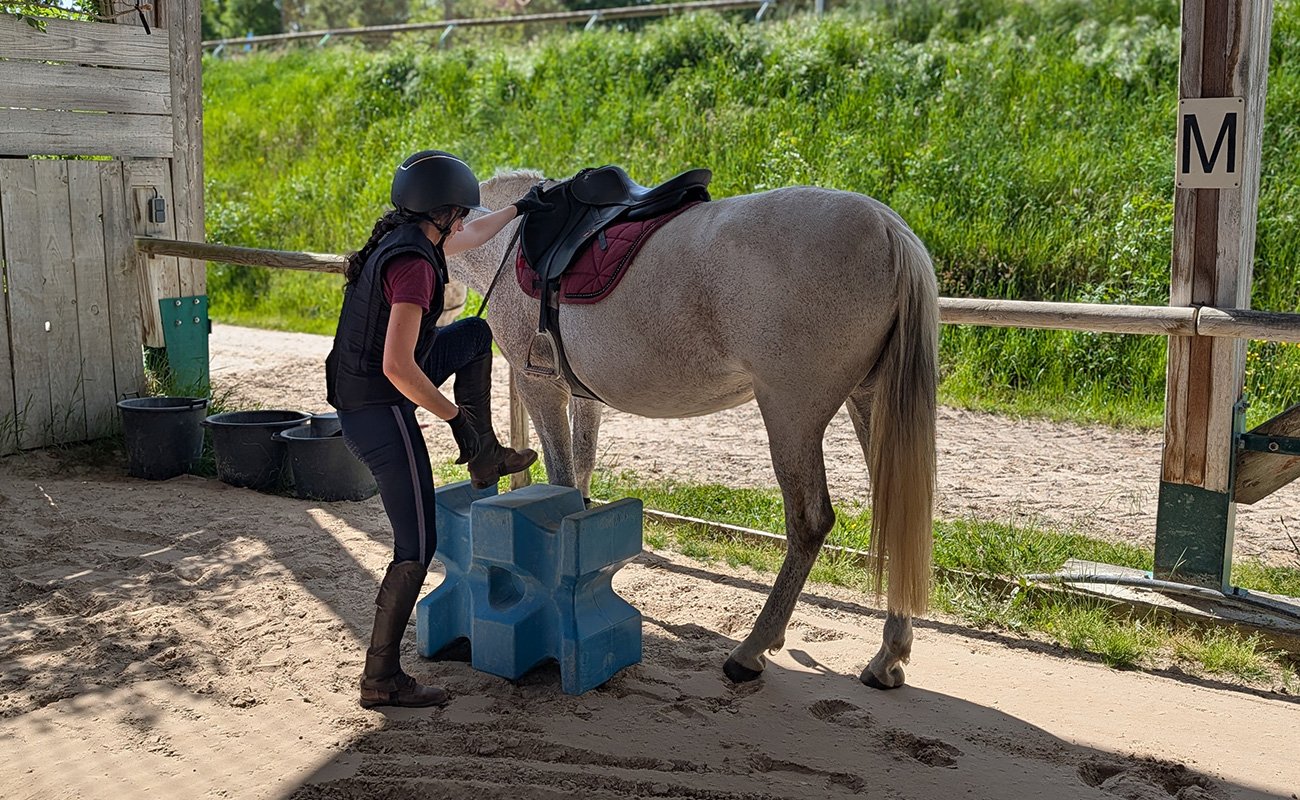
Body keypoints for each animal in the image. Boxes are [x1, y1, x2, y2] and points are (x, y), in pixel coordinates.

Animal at [446, 169, 939, 689]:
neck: (504, 240)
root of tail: (888, 229)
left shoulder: (540, 389)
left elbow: (561, 486)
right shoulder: (584, 399)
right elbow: (580, 479)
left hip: (792, 415)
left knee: (809, 522)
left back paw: (751, 650)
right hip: (868, 403)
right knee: (899, 510)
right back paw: (887, 657)